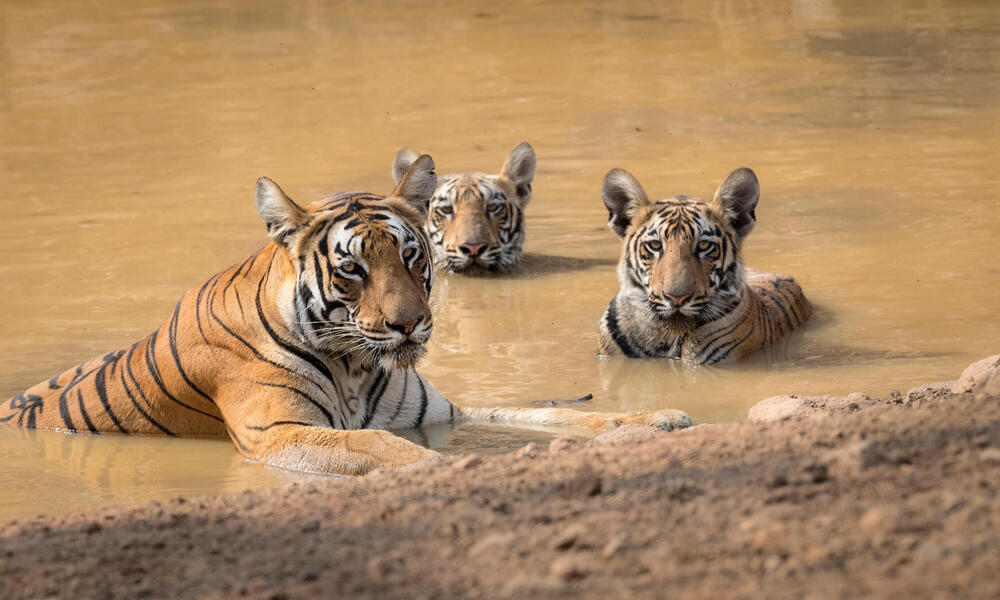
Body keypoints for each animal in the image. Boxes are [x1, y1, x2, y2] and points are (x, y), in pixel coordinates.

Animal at [1, 157, 688, 476]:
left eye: (411, 255)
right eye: (353, 269)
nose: (410, 324)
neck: (356, 365)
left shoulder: (442, 412)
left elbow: (541, 414)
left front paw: (656, 419)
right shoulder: (280, 432)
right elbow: (382, 446)